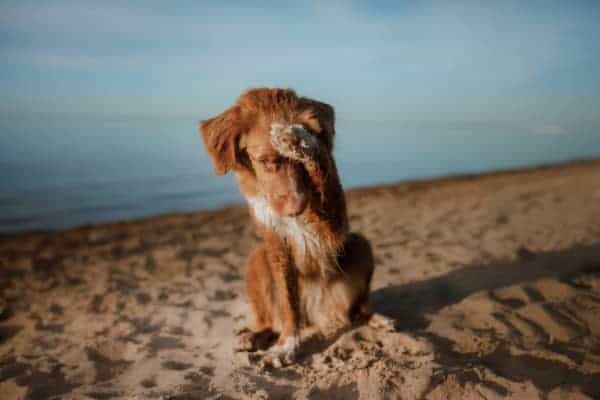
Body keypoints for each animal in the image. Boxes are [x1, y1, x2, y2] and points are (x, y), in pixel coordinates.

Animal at [199, 89, 372, 368]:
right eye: (265, 161)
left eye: (298, 163)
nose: (297, 208)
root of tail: (314, 313)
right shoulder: (275, 241)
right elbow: (288, 304)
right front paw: (286, 346)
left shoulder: (334, 228)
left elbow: (321, 163)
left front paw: (298, 138)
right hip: (256, 258)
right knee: (271, 320)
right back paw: (252, 336)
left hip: (360, 245)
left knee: (358, 310)